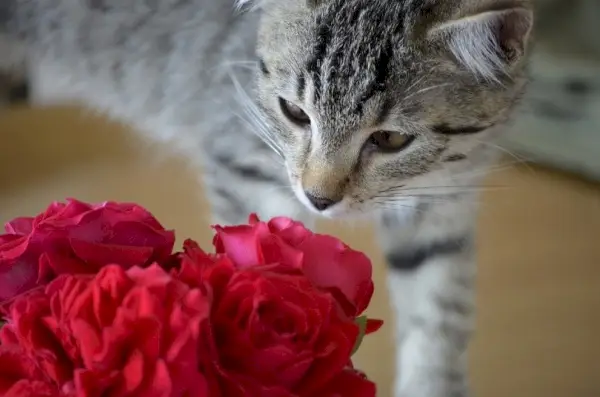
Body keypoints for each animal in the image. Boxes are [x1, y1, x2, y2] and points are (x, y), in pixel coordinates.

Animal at [1, 1, 536, 394]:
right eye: (294, 112)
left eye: (390, 140)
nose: (319, 199)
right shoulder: (246, 166)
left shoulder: (445, 198)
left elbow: (439, 312)